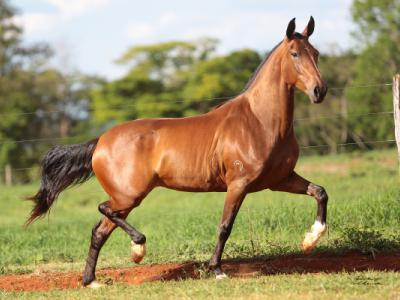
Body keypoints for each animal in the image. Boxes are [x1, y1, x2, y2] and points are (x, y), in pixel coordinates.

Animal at [28, 17, 328, 288]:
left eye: (315, 53)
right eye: (294, 54)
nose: (319, 91)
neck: (259, 121)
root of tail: (100, 140)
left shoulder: (280, 179)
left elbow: (320, 192)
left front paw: (309, 240)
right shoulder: (238, 185)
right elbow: (225, 227)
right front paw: (216, 270)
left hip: (126, 198)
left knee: (98, 231)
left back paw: (91, 281)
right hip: (128, 196)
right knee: (104, 210)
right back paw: (137, 249)